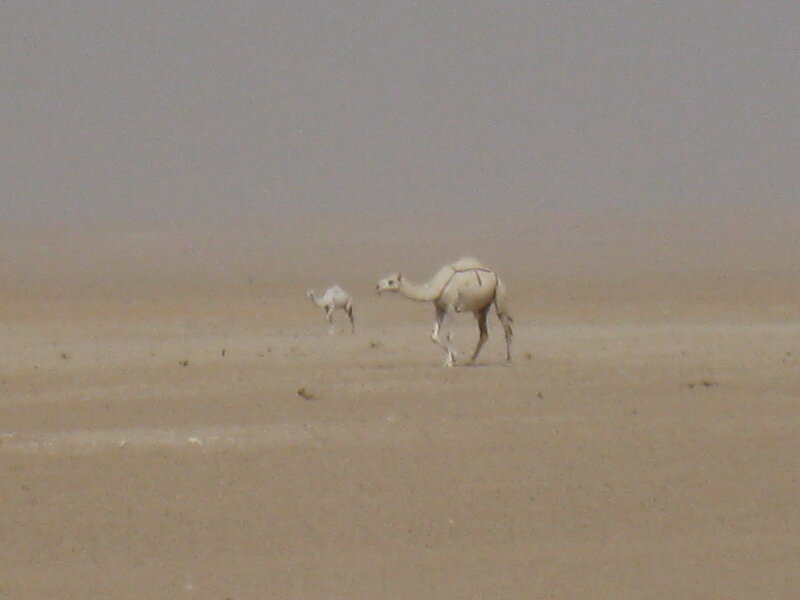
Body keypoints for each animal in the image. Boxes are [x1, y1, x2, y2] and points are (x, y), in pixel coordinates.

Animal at [376, 258, 513, 366]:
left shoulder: (451, 307)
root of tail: (496, 276)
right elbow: (433, 336)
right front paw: (454, 357)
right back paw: (471, 360)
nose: (378, 286)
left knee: (506, 327)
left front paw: (449, 362)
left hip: (499, 293)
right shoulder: (440, 308)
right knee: (484, 333)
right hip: (480, 308)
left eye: (391, 281)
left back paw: (507, 359)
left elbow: (449, 335)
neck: (437, 287)